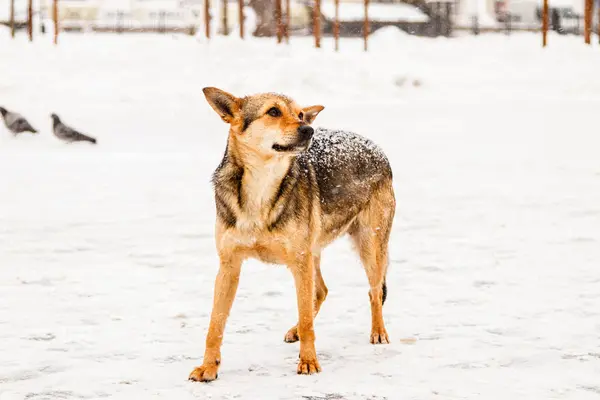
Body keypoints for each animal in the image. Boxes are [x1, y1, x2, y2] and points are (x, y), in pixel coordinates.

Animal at [190, 87, 396, 382]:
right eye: (273, 111)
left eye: (299, 114)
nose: (309, 129)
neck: (261, 189)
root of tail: (375, 146)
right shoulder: (229, 265)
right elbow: (215, 325)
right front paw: (208, 367)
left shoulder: (299, 262)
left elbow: (308, 319)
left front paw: (309, 362)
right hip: (314, 252)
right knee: (321, 291)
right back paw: (296, 329)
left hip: (369, 247)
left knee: (374, 291)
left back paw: (378, 332)